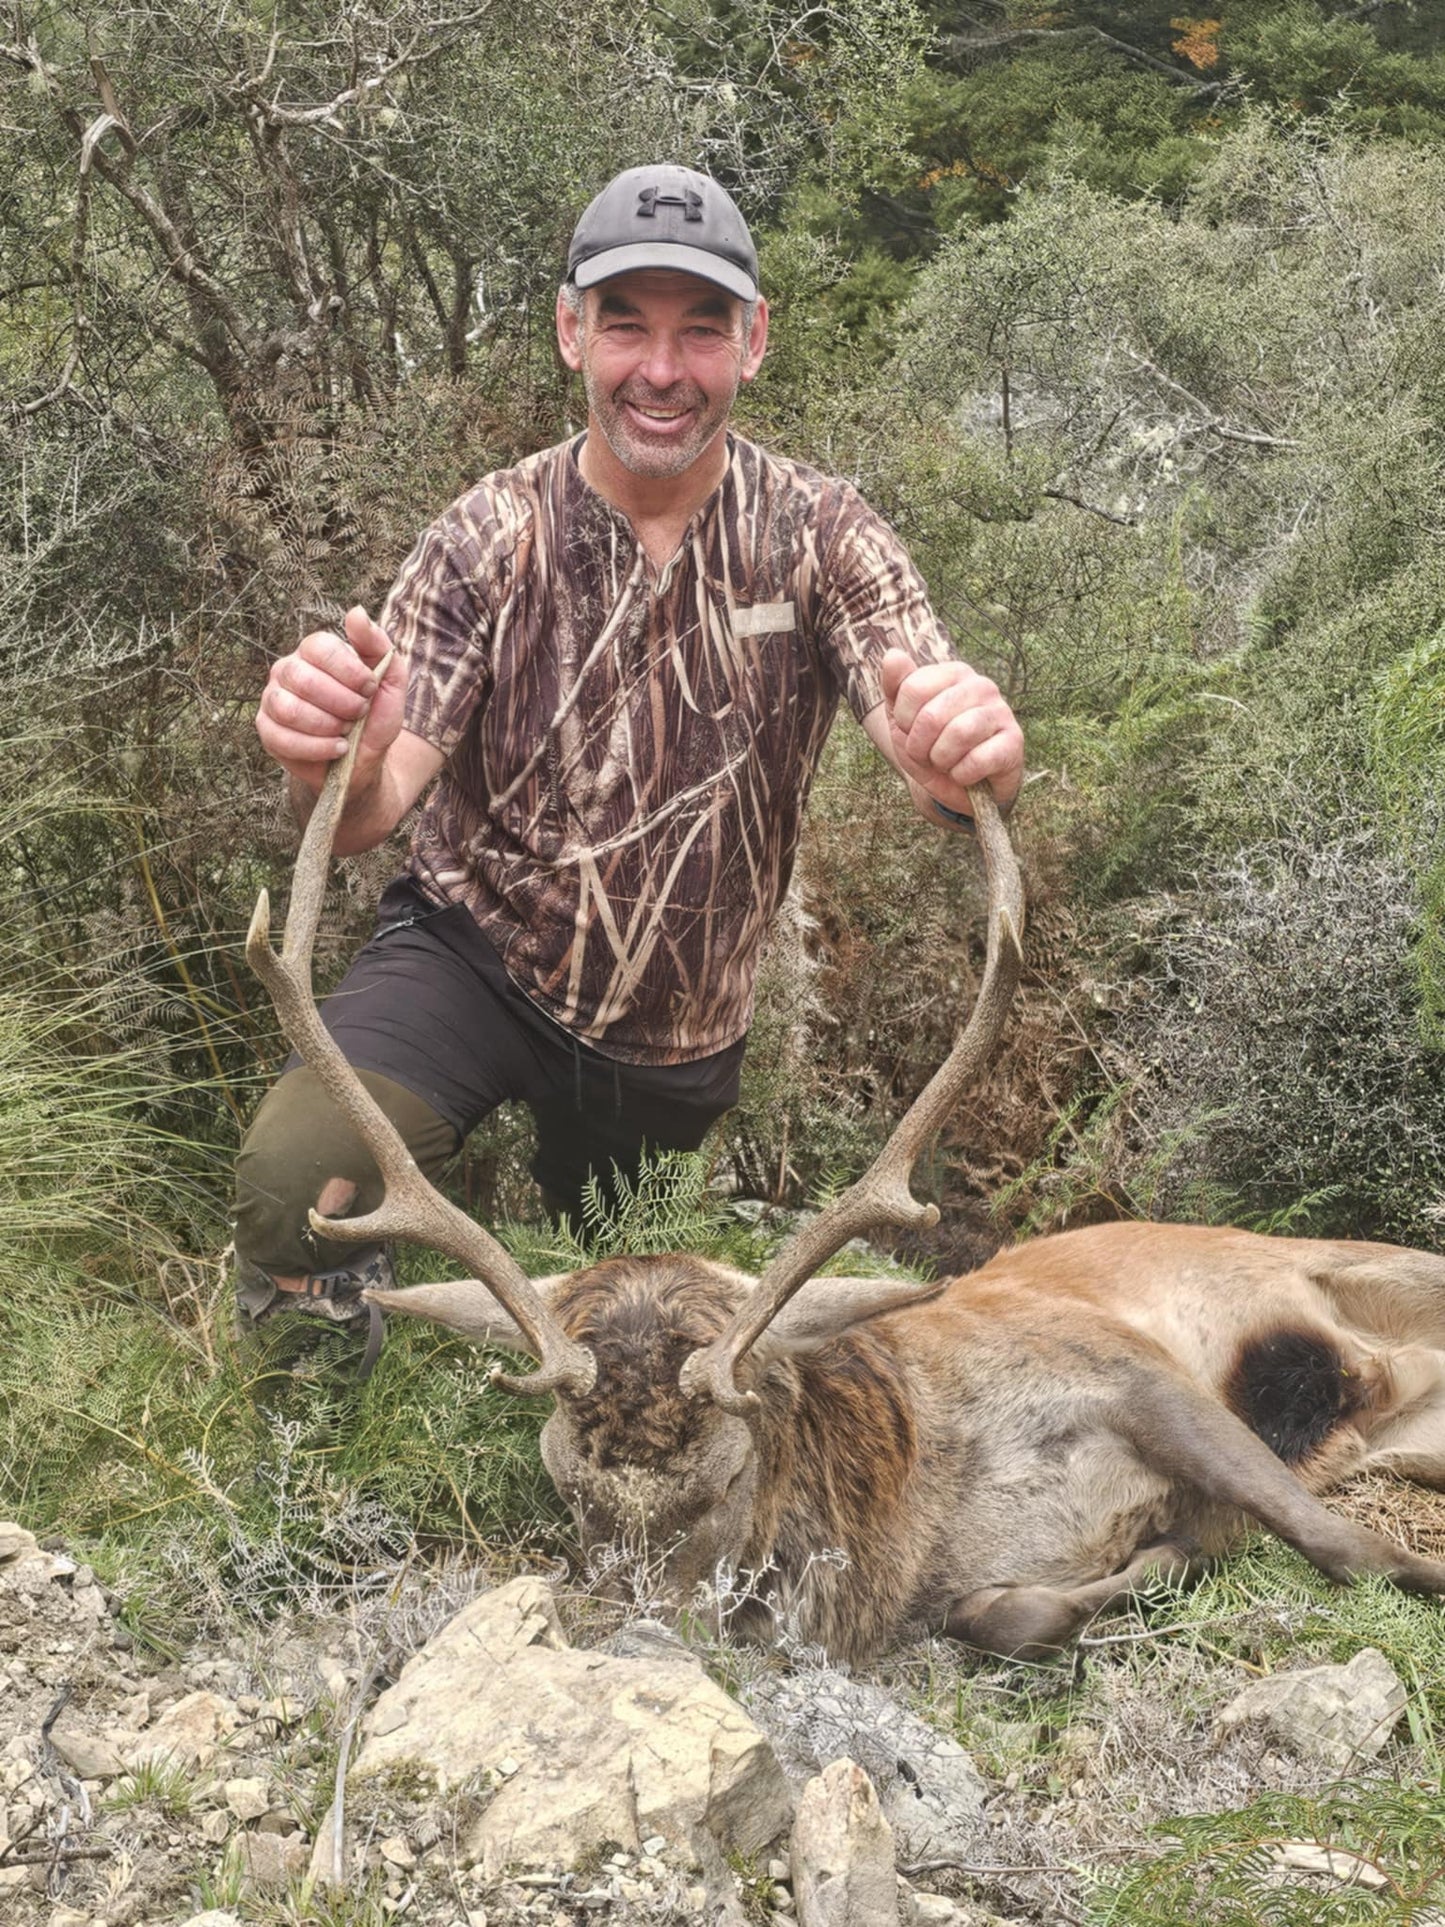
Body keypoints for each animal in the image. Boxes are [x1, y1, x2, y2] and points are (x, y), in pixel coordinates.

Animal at [246, 700, 1445, 1664]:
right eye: (569, 1490)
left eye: (725, 1482)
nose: (644, 1634)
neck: (916, 1513)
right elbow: (1010, 1610)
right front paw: (1134, 1571)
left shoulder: (1125, 1364)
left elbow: (1342, 1543)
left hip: (1379, 1269)